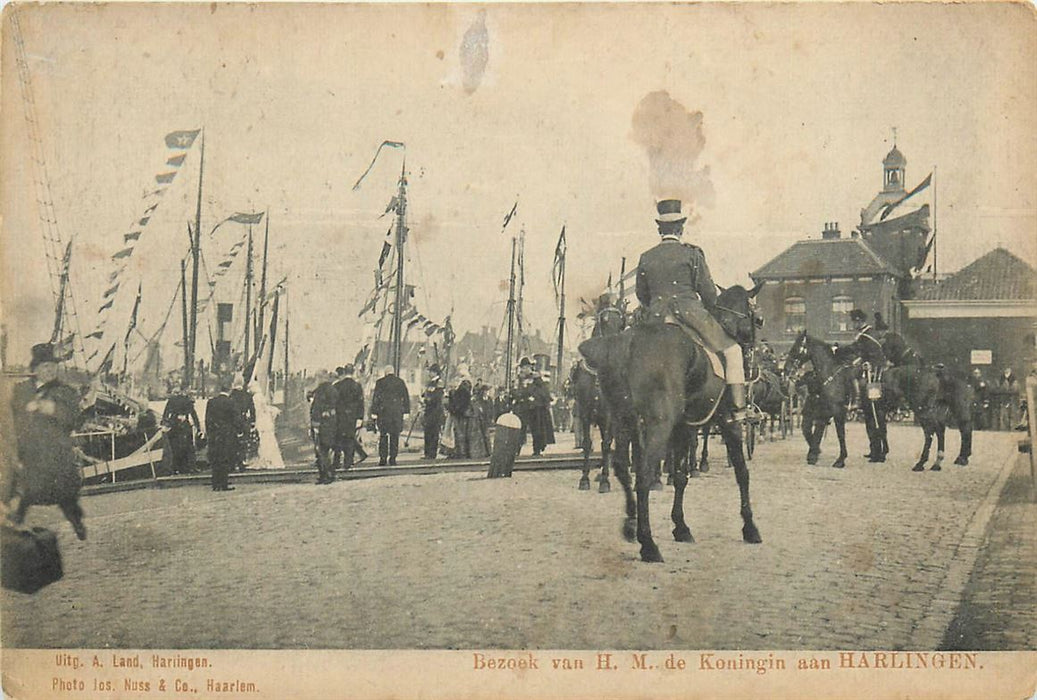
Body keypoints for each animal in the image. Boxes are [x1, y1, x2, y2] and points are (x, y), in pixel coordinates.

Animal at [584, 284, 763, 564]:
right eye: (757, 319)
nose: (753, 358)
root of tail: (629, 343)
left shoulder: (683, 428)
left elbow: (680, 476)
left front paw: (680, 526)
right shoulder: (728, 422)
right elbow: (742, 472)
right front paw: (750, 527)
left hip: (624, 420)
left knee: (622, 466)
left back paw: (630, 524)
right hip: (657, 425)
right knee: (643, 475)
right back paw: (648, 544)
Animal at [788, 331, 854, 468]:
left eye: (796, 348)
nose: (787, 369)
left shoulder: (838, 412)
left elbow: (840, 434)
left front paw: (840, 460)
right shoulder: (826, 411)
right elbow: (816, 431)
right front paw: (814, 453)